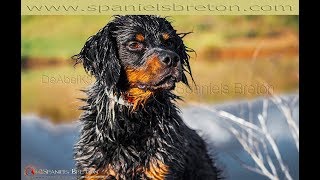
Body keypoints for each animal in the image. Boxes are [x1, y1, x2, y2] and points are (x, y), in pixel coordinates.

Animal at [74, 15, 221, 179]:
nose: (172, 58)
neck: (132, 116)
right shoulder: (96, 169)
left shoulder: (159, 167)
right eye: (134, 44)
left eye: (169, 42)